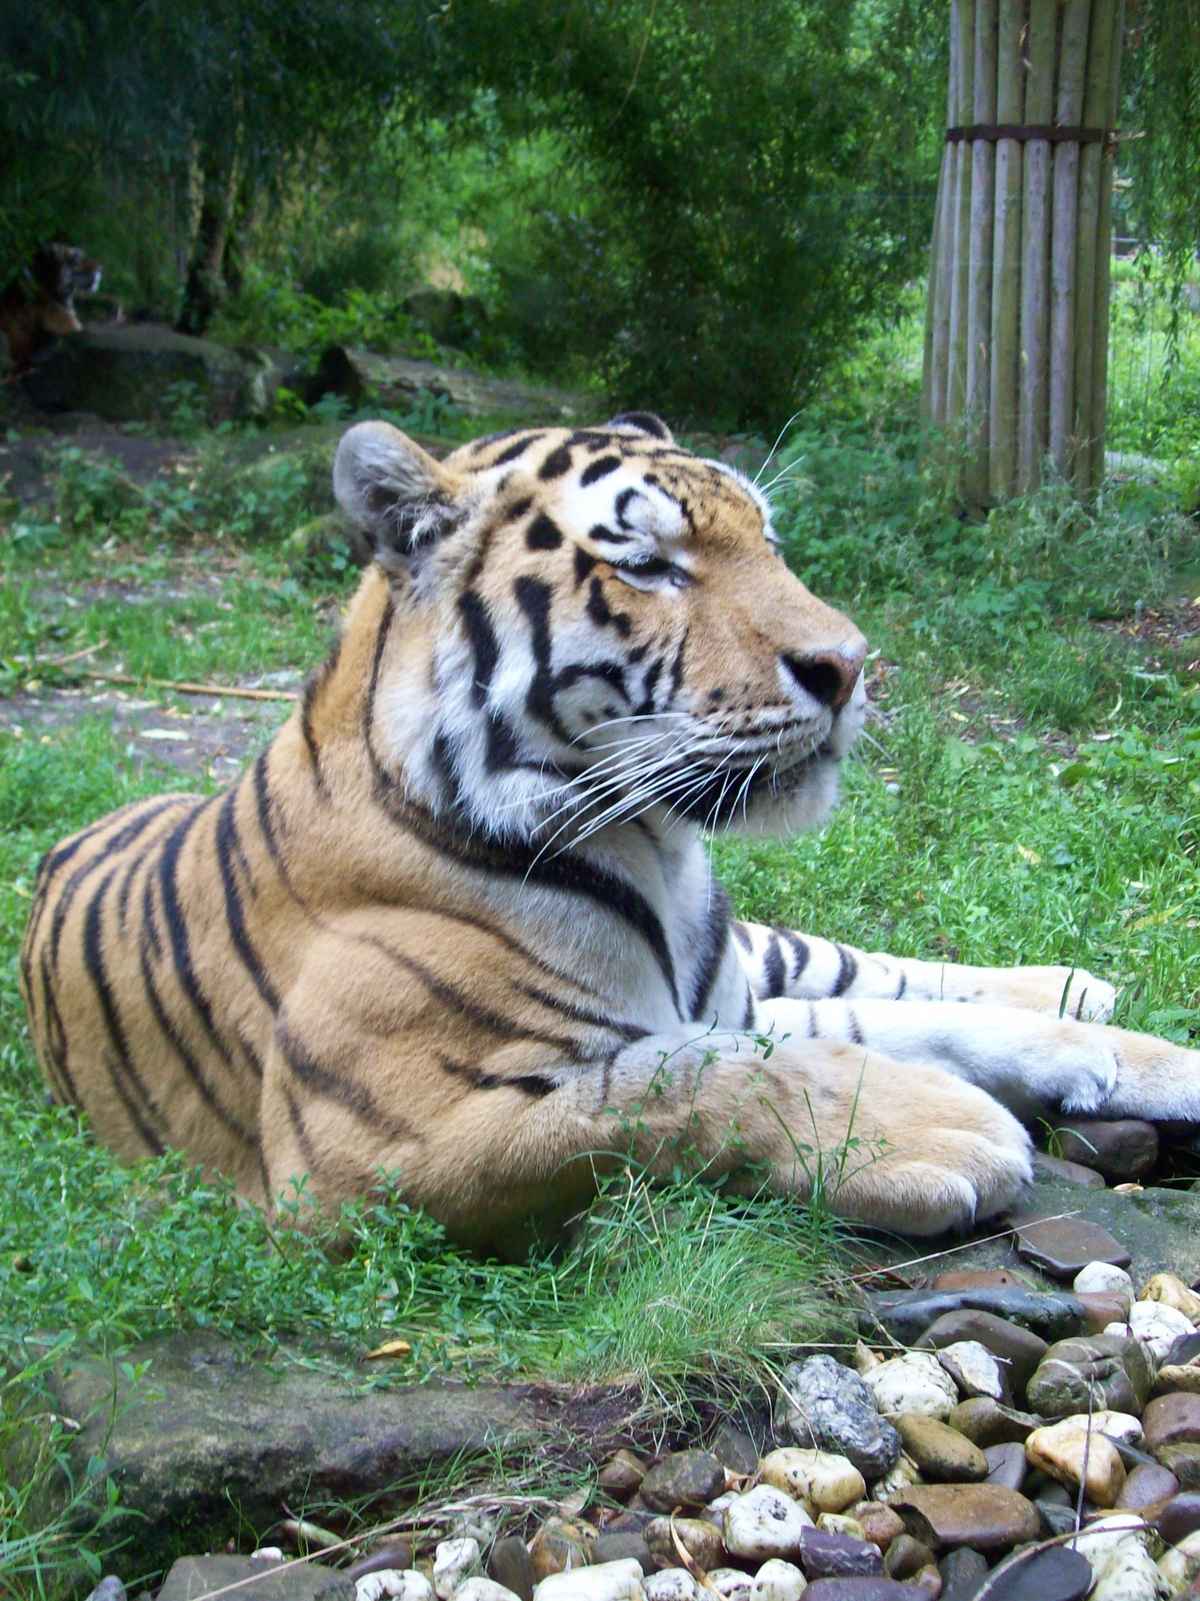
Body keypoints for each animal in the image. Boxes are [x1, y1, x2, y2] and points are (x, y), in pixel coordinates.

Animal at [20, 413, 1200, 1250]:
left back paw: (1088, 1003)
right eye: (648, 566)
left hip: (760, 950)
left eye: (768, 541)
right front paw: (938, 1128)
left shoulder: (721, 997)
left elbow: (864, 1027)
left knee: (873, 969)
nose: (850, 664)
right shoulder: (369, 1151)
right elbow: (683, 1081)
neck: (658, 851)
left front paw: (1107, 1056)